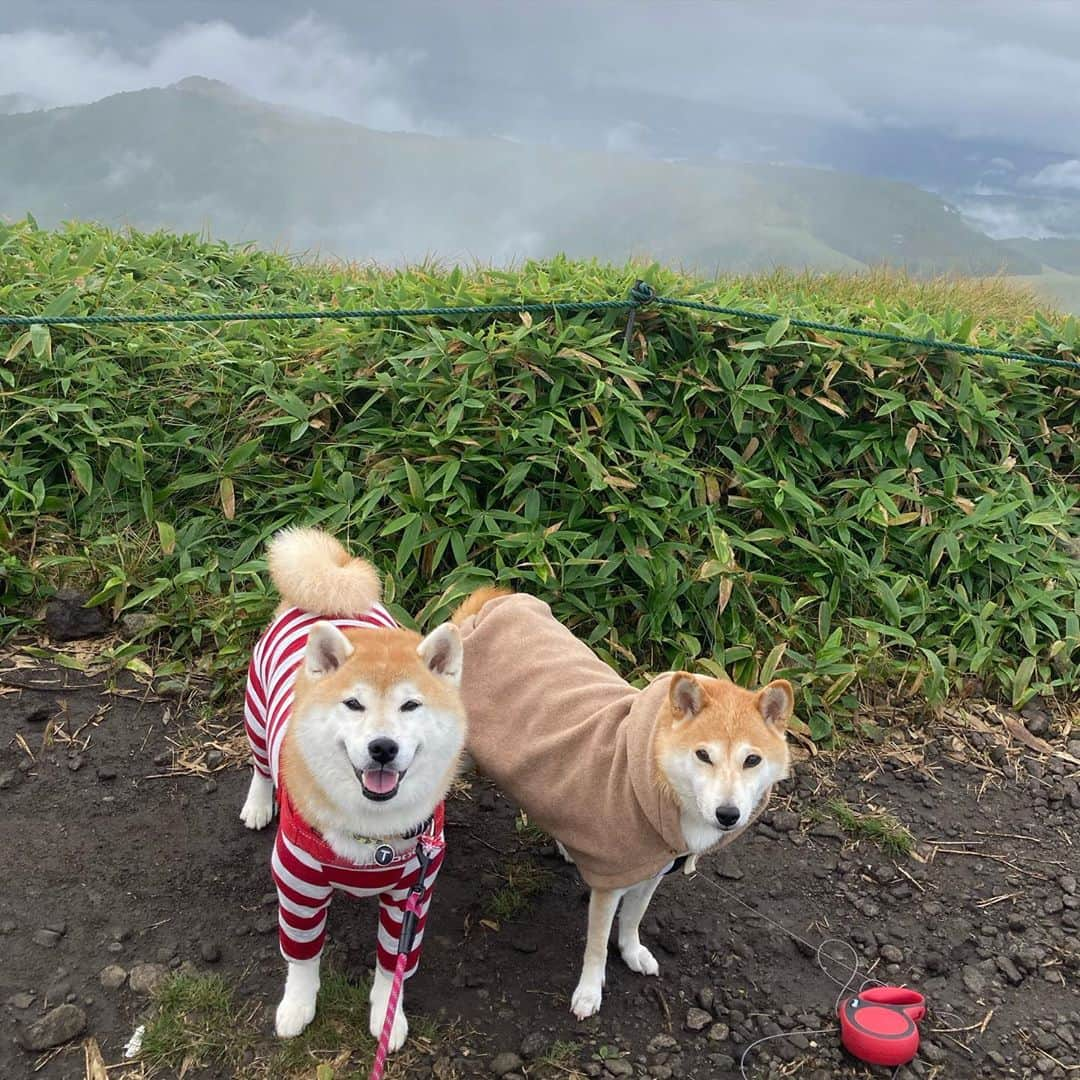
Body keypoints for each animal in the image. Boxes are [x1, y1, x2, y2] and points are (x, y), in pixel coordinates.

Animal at [241, 527, 468, 1049]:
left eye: (410, 705)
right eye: (353, 704)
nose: (382, 747)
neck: (374, 835)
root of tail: (330, 591)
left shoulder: (413, 894)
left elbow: (392, 966)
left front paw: (388, 1015)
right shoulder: (299, 883)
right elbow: (302, 956)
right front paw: (297, 1005)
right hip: (257, 718)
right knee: (261, 765)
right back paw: (259, 803)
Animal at [451, 591, 790, 1019]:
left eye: (752, 760)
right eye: (703, 755)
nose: (728, 815)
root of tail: (491, 602)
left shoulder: (650, 871)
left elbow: (632, 920)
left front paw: (632, 952)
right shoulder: (609, 883)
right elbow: (597, 945)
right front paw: (589, 991)